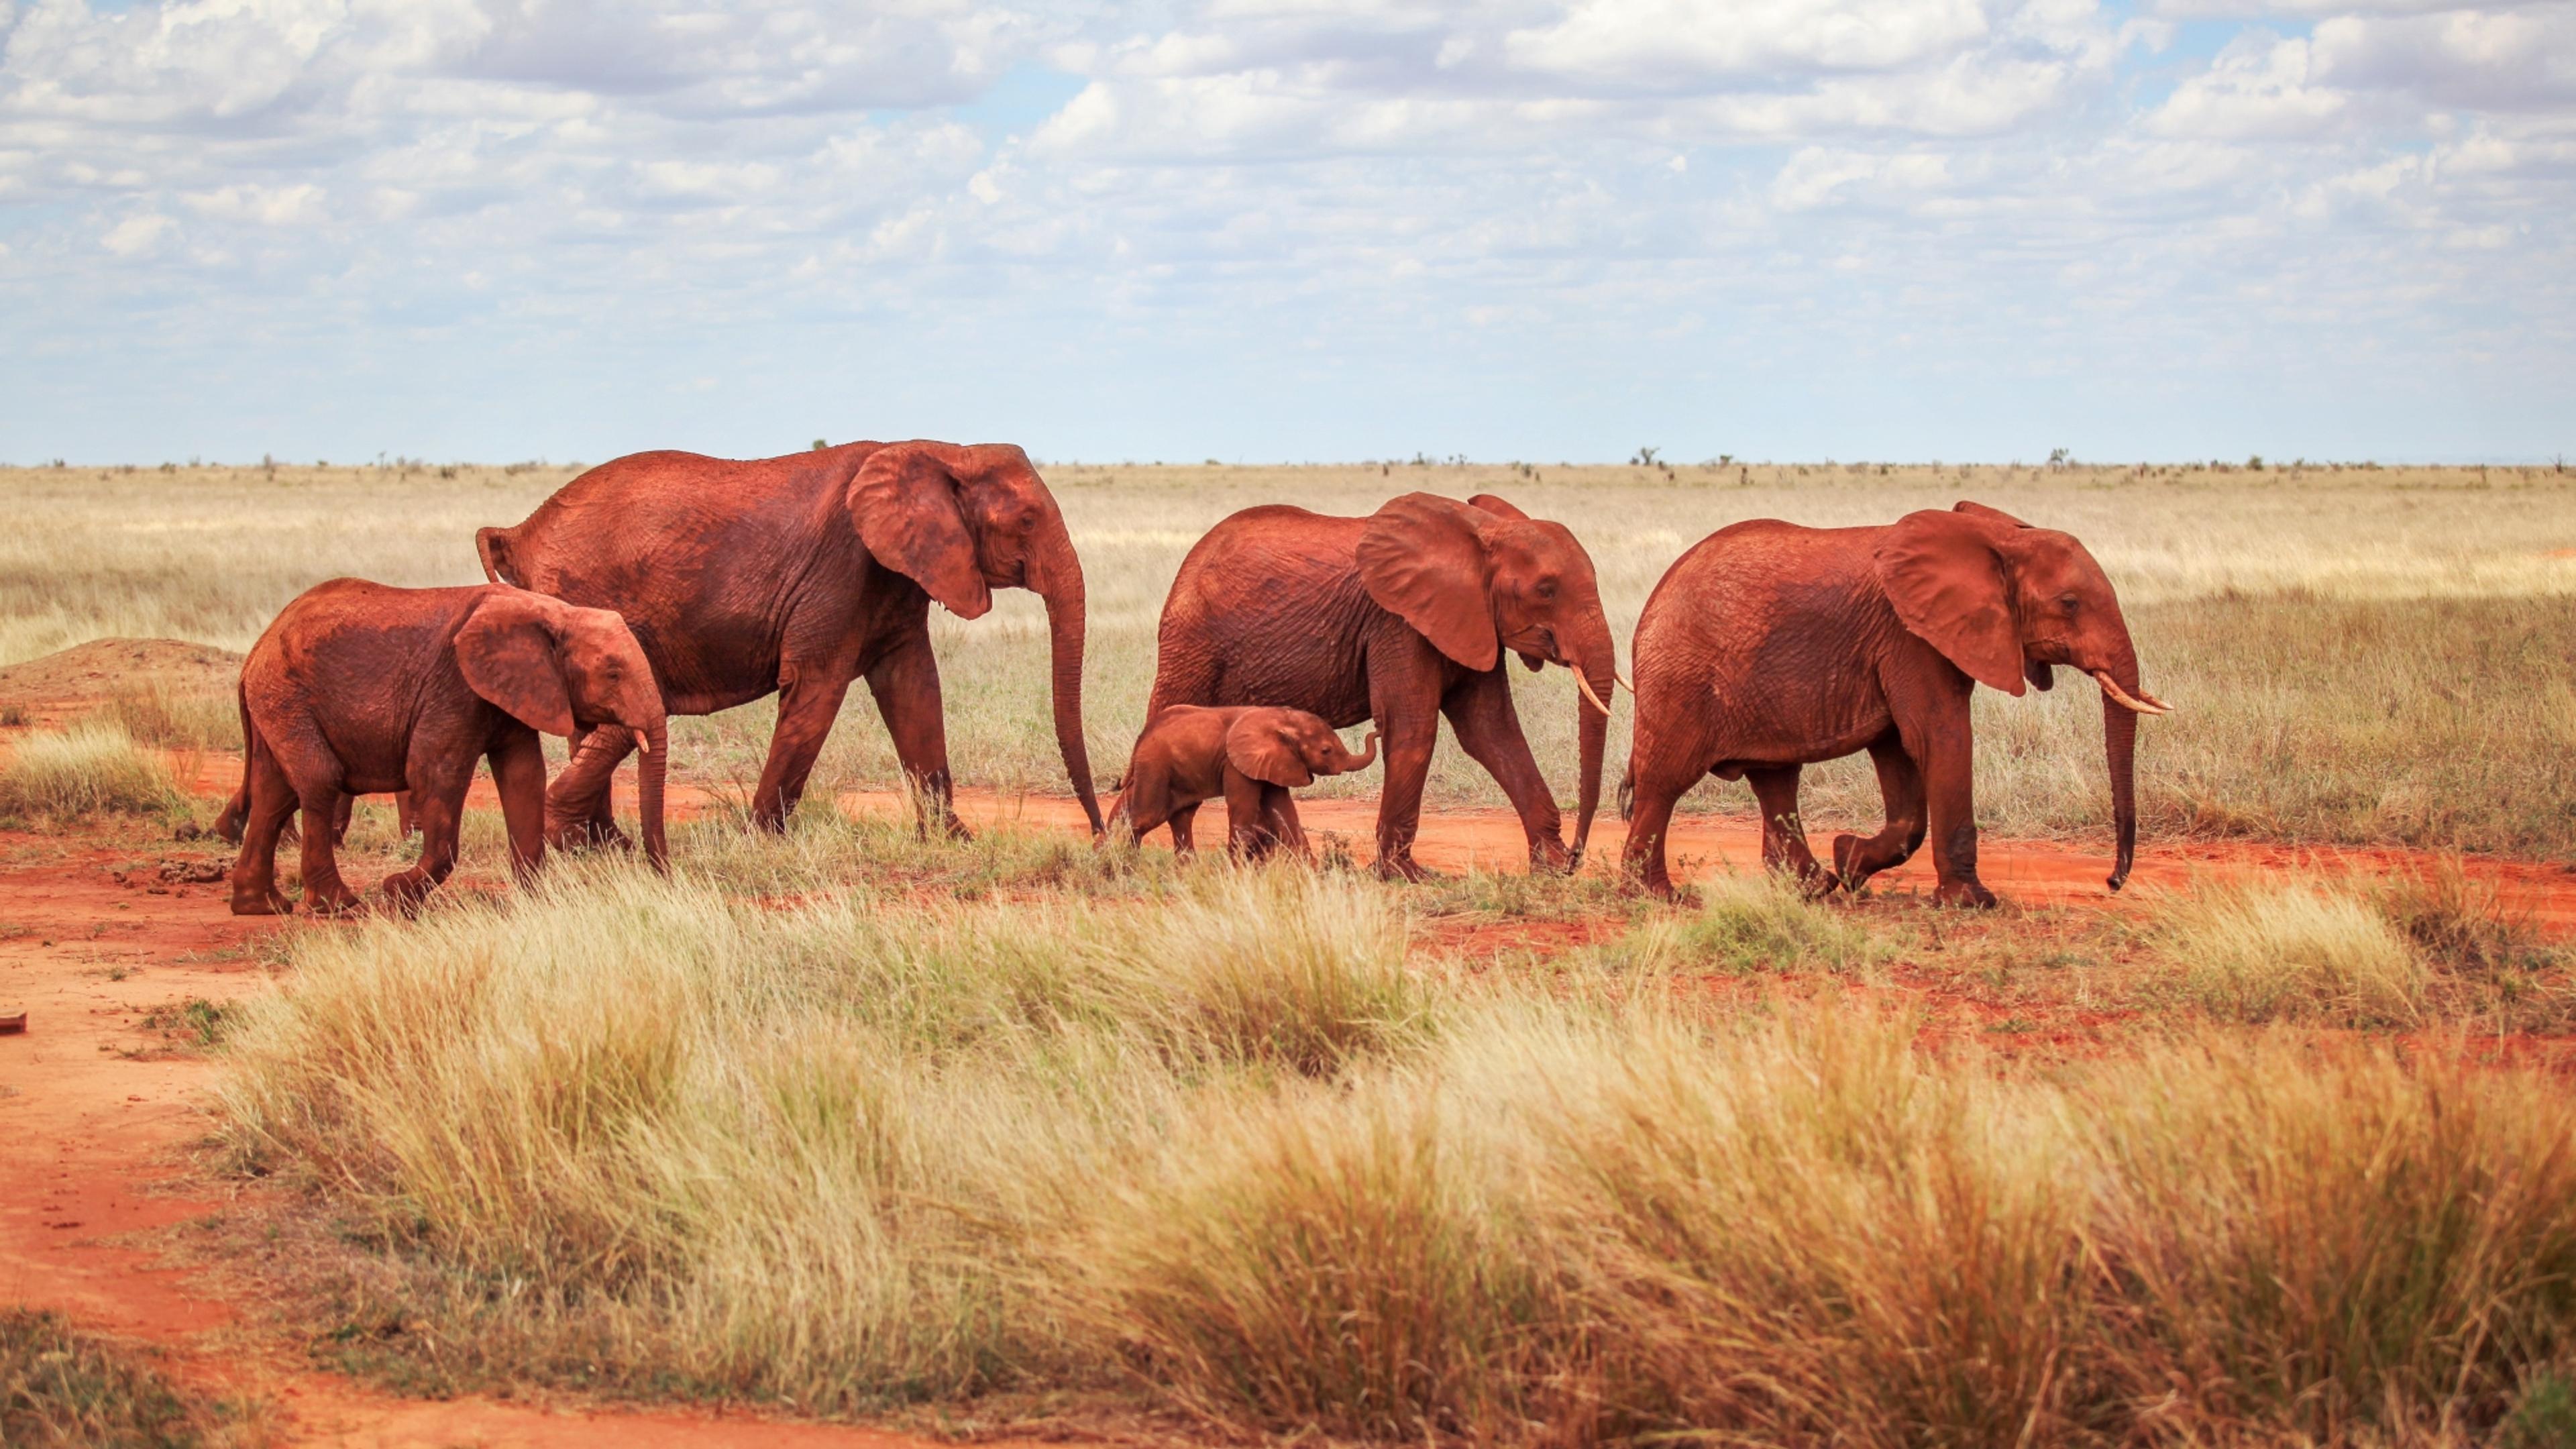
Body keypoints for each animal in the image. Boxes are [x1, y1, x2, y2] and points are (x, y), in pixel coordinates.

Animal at [226, 581, 667, 916]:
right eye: (613, 673)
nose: (662, 875)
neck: (555, 613)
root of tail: (256, 652)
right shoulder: (453, 688)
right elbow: (437, 774)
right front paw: (397, 894)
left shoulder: (514, 692)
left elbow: (524, 776)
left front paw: (535, 903)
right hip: (287, 696)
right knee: (319, 781)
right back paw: (340, 906)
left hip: (278, 702)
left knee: (275, 793)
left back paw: (261, 906)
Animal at [475, 440, 1100, 844]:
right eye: (1026, 521)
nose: (1098, 838)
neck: (945, 450)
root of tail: (519, 532)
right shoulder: (844, 569)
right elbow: (816, 690)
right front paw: (762, 843)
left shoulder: (895, 577)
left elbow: (914, 690)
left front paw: (955, 842)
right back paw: (593, 844)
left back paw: (603, 846)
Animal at [1107, 704, 1379, 860]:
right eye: (1326, 751)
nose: (1377, 728)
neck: (1282, 719)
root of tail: (1144, 735)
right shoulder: (1236, 765)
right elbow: (1243, 814)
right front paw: (1236, 875)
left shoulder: (1274, 762)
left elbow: (1285, 815)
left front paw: (1312, 874)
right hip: (1155, 767)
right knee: (1145, 818)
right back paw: (1124, 867)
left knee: (1181, 818)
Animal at [1147, 492, 1621, 879]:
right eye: (1546, 590)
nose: (1577, 855)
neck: (1482, 531)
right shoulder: (1398, 623)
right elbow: (1414, 731)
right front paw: (1406, 876)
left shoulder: (1473, 623)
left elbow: (1493, 733)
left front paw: (1551, 869)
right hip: (1193, 638)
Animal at [1619, 500, 2170, 904]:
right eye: (2070, 604)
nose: (2112, 882)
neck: (1995, 537)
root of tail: (1653, 600)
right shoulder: (1911, 637)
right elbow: (1938, 737)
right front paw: (1973, 904)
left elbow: (1900, 750)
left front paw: (1850, 862)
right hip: (1681, 679)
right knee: (1665, 782)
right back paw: (1659, 898)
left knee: (1775, 781)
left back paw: (1815, 888)